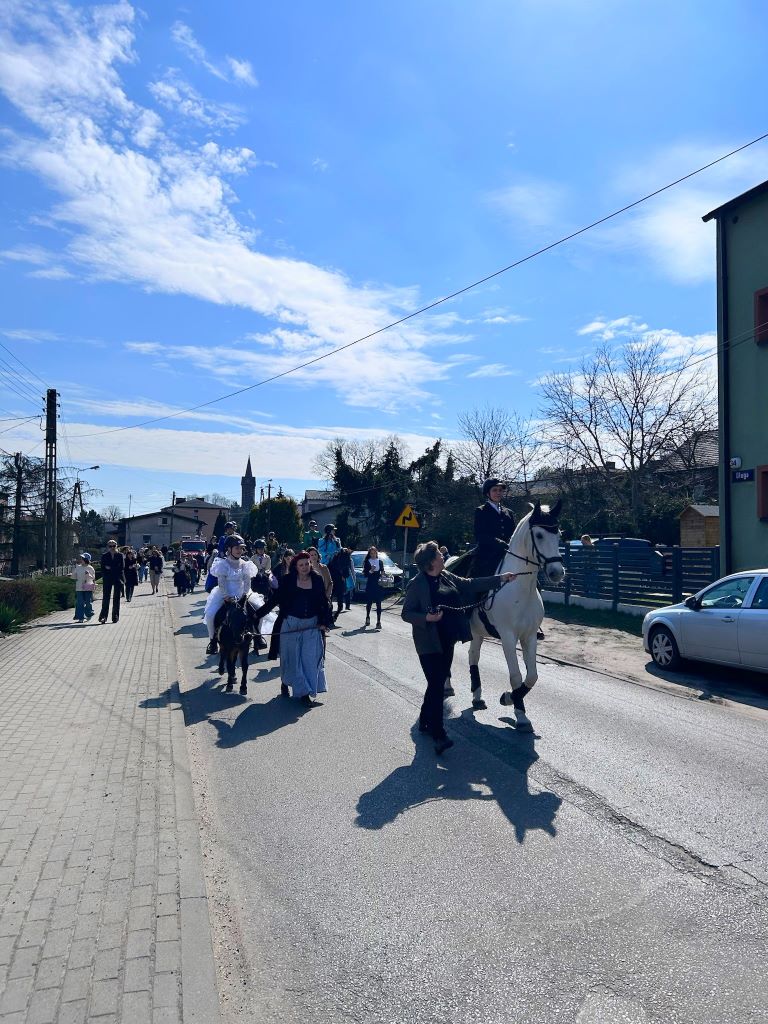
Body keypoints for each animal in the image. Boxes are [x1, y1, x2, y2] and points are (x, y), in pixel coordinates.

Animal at [467, 500, 565, 731]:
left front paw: (510, 699)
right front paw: (519, 713)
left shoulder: (529, 636)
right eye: (539, 535)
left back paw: (477, 697)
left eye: (558, 534)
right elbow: (516, 675)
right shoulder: (508, 637)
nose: (557, 572)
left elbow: (531, 677)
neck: (520, 586)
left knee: (473, 656)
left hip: (477, 632)